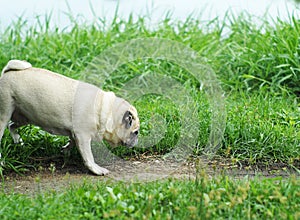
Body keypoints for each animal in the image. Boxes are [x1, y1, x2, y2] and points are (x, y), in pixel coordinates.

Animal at [0, 59, 140, 175]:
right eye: (136, 132)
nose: (137, 140)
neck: (104, 109)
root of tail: (8, 72)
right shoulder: (83, 136)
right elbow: (88, 156)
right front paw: (96, 169)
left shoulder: (76, 134)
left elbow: (72, 141)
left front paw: (65, 150)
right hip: (5, 112)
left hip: (24, 117)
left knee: (12, 126)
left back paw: (18, 141)